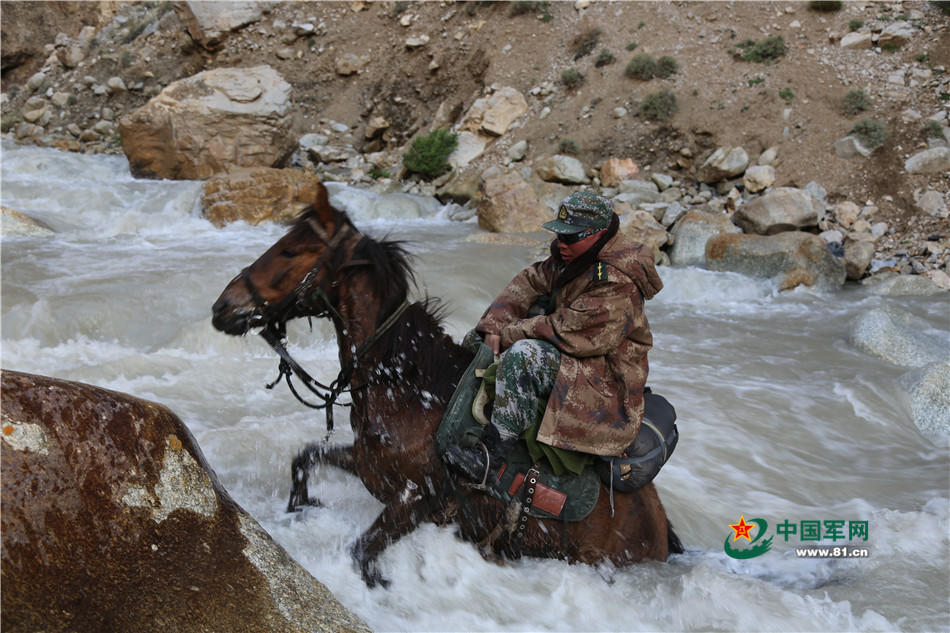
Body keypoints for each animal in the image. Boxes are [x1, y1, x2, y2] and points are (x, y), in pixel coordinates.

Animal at [212, 183, 680, 588]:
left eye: (289, 251)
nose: (223, 308)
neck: (406, 390)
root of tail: (658, 525)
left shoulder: (416, 500)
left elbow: (362, 550)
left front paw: (379, 582)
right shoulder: (368, 465)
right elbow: (305, 459)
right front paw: (302, 508)